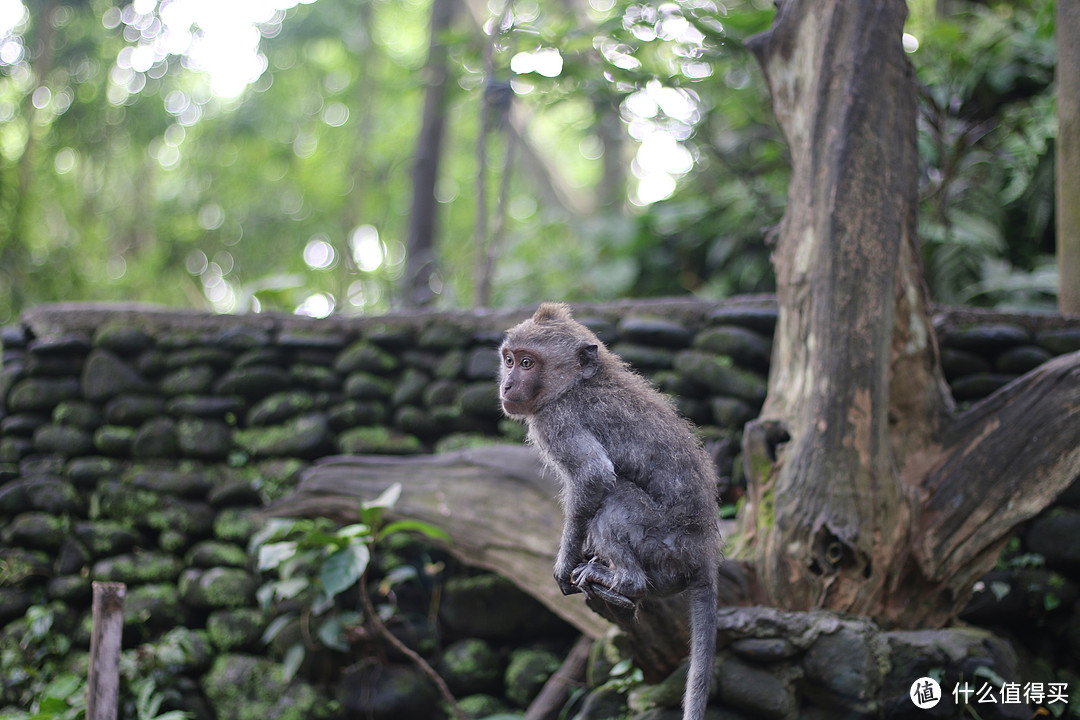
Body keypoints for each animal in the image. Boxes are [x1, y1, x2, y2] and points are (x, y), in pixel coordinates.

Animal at [498, 302, 721, 720]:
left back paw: (624, 581)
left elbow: (594, 476)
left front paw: (564, 564)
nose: (505, 384)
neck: (576, 384)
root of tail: (705, 556)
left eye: (527, 362)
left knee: (616, 500)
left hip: (663, 545)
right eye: (508, 360)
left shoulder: (557, 419)